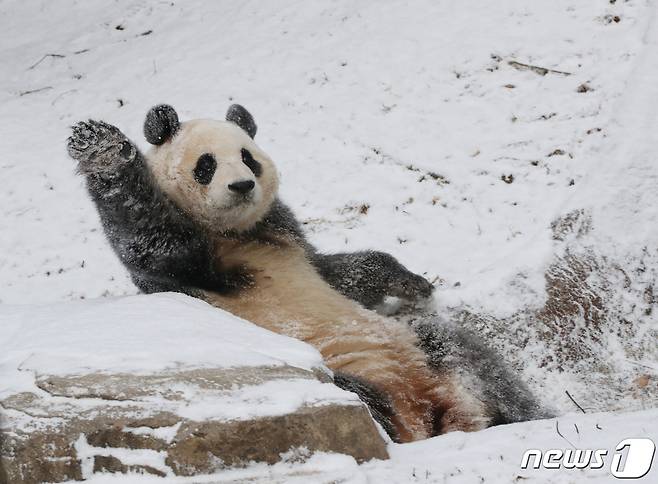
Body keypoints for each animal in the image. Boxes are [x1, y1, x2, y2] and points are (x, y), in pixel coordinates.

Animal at [68, 105, 548, 442]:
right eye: (207, 164)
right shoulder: (187, 271)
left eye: (248, 158)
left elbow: (342, 273)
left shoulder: (288, 240)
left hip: (422, 351)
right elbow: (147, 236)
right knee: (361, 399)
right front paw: (100, 146)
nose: (241, 186)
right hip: (348, 378)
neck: (236, 234)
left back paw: (528, 417)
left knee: (468, 356)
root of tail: (434, 415)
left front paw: (414, 283)